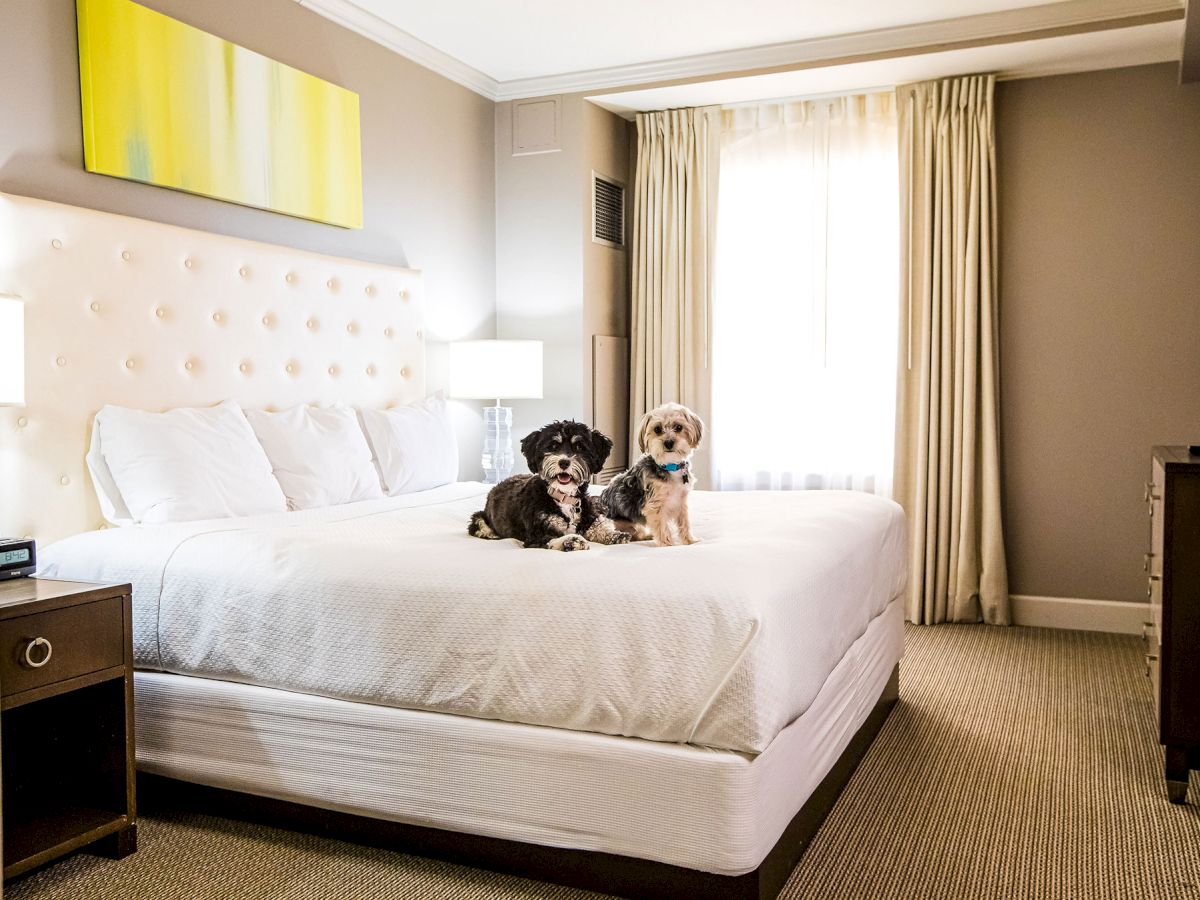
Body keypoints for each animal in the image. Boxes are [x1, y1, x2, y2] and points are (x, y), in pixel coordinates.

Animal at [465, 422, 628, 554]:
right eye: (553, 446)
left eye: (579, 447)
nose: (564, 462)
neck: (563, 497)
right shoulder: (535, 533)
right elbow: (550, 538)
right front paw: (571, 540)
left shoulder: (589, 515)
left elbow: (597, 526)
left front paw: (614, 534)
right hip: (479, 517)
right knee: (478, 524)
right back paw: (491, 533)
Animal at [600, 403, 700, 547]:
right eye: (657, 429)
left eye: (678, 427)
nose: (668, 442)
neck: (670, 465)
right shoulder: (655, 506)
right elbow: (662, 526)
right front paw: (667, 544)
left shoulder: (682, 502)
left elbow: (685, 523)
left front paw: (689, 540)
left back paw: (648, 535)